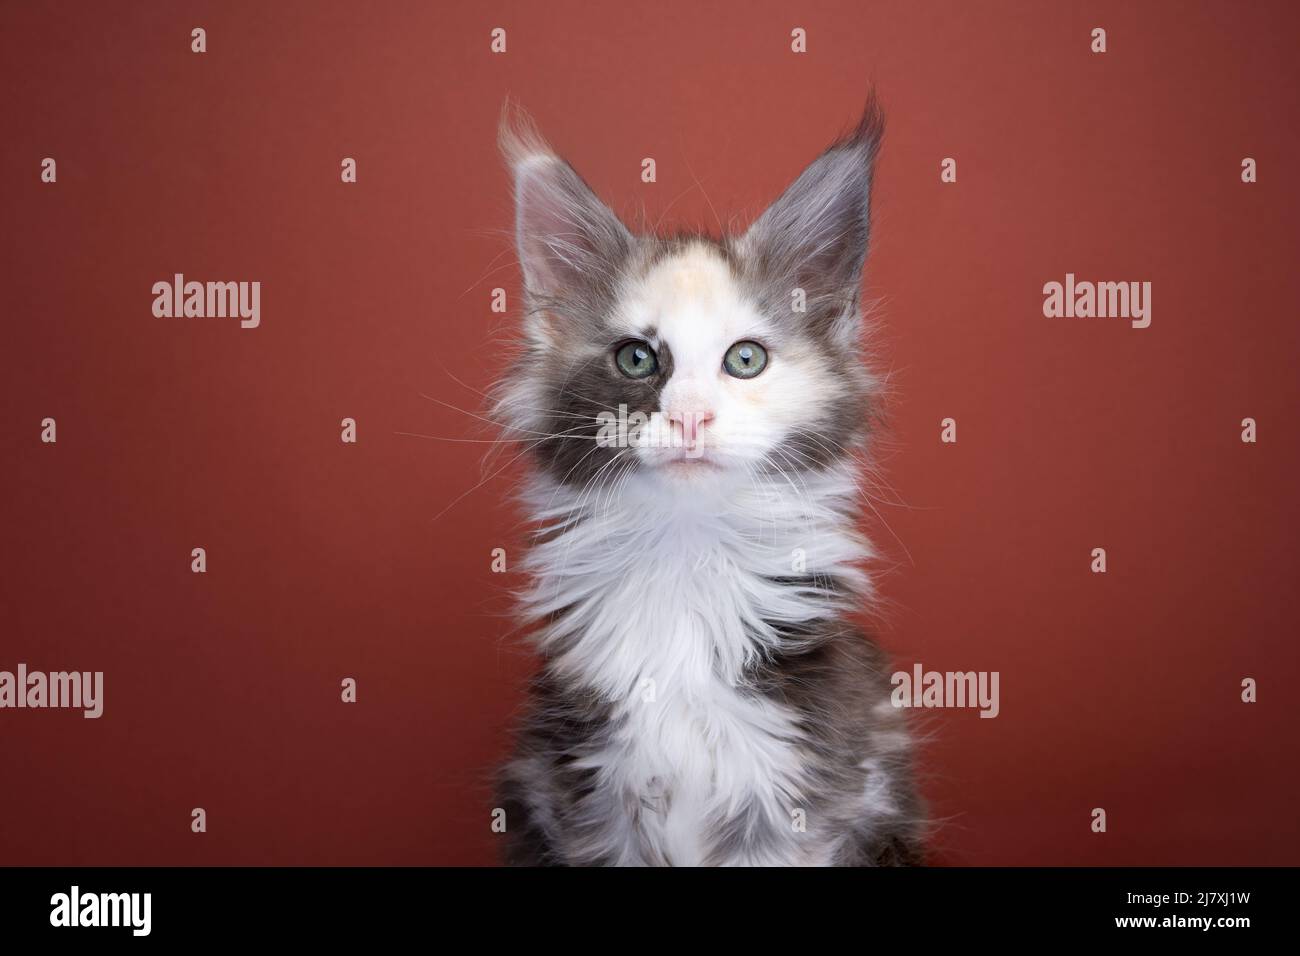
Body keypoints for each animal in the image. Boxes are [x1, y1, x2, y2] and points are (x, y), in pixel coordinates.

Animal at [488, 97, 925, 868]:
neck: (684, 562)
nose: (691, 416)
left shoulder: (798, 796)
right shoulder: (587, 799)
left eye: (745, 359)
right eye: (636, 358)